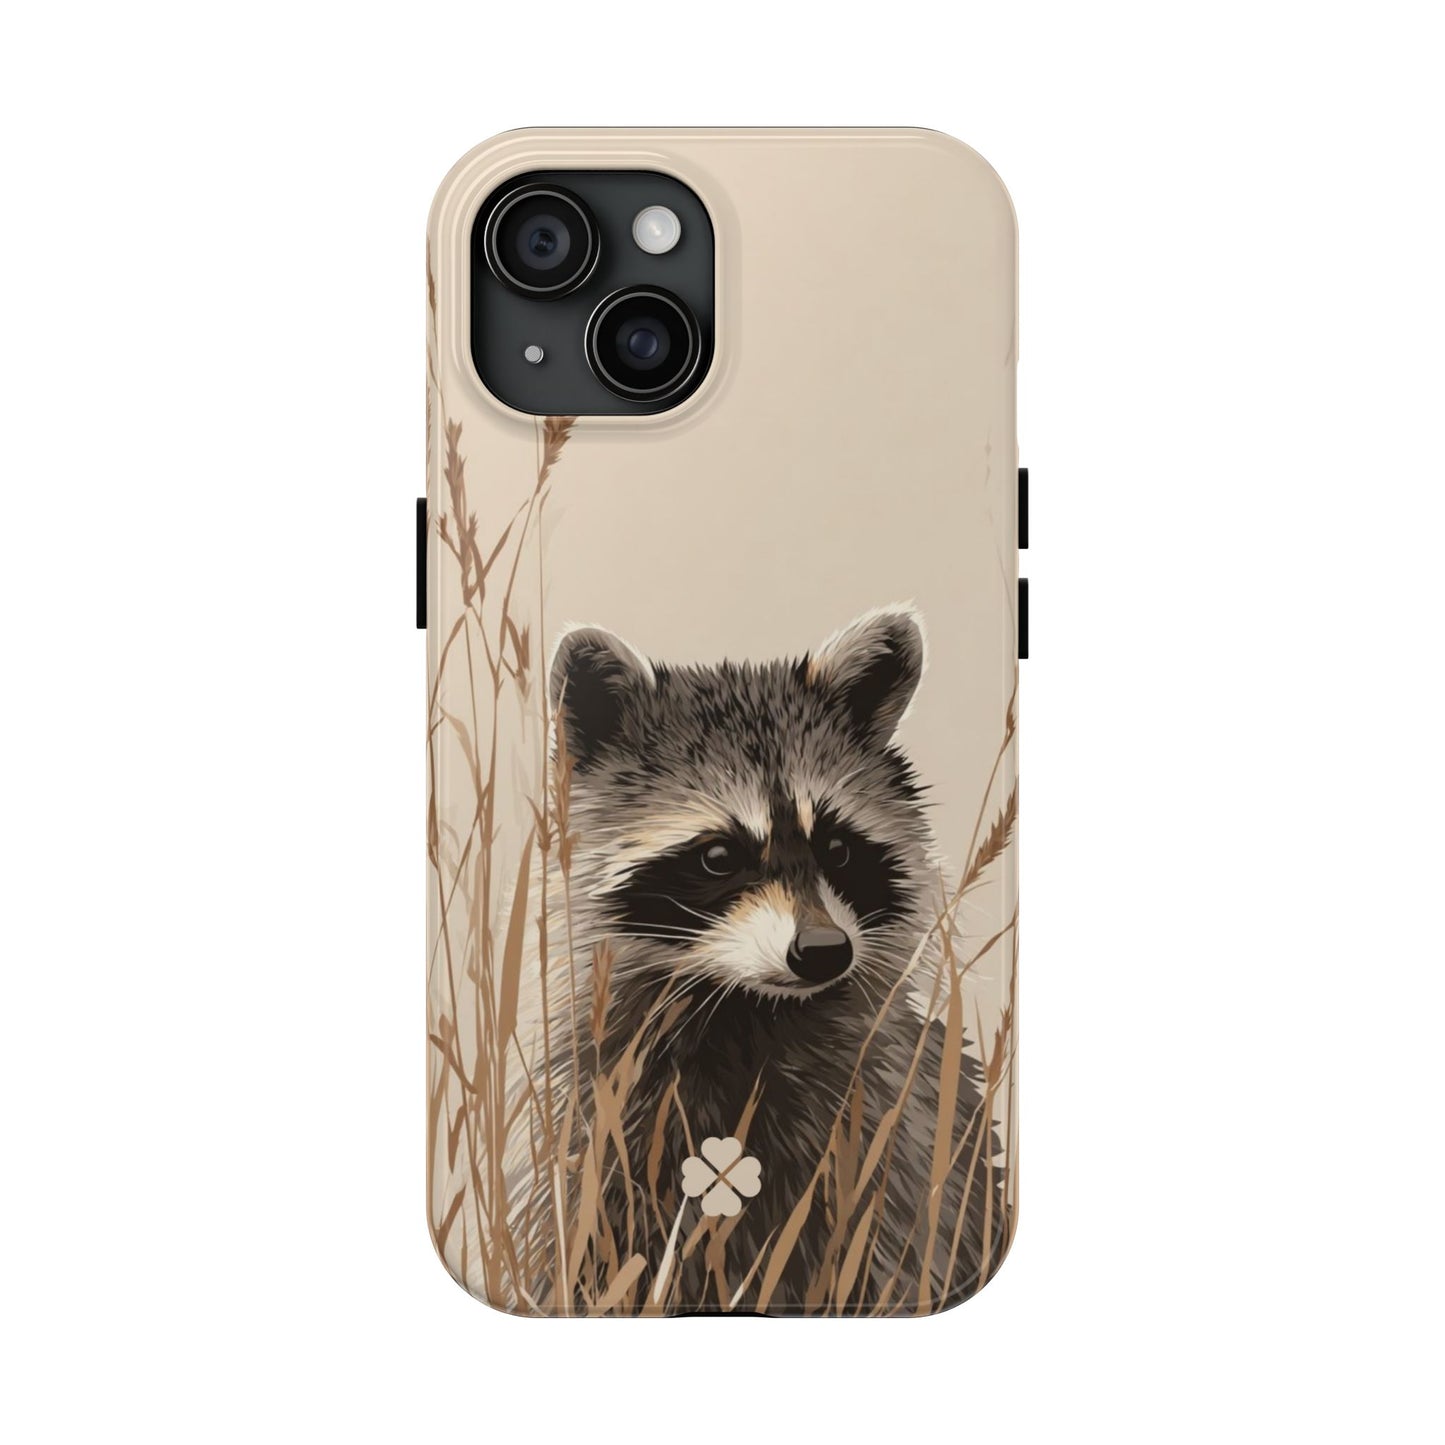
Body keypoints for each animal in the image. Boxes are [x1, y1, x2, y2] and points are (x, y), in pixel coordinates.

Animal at [535, 605, 1005, 1311]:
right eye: (719, 856)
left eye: (836, 847)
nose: (824, 951)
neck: (747, 1009)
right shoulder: (604, 1121)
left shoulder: (895, 1131)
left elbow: (901, 1237)